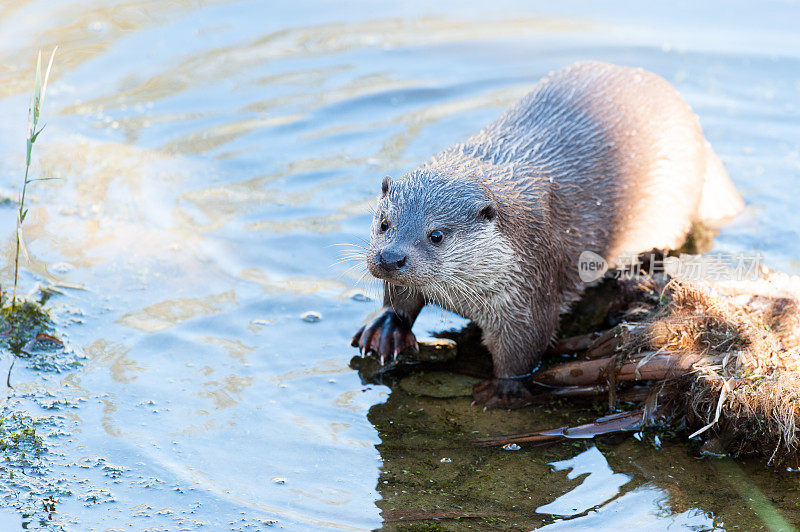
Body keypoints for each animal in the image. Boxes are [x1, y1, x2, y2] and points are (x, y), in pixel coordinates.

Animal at [350, 61, 744, 408]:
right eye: (385, 223)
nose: (390, 257)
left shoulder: (529, 287)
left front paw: (504, 390)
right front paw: (387, 327)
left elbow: (525, 347)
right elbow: (400, 299)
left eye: (436, 235)